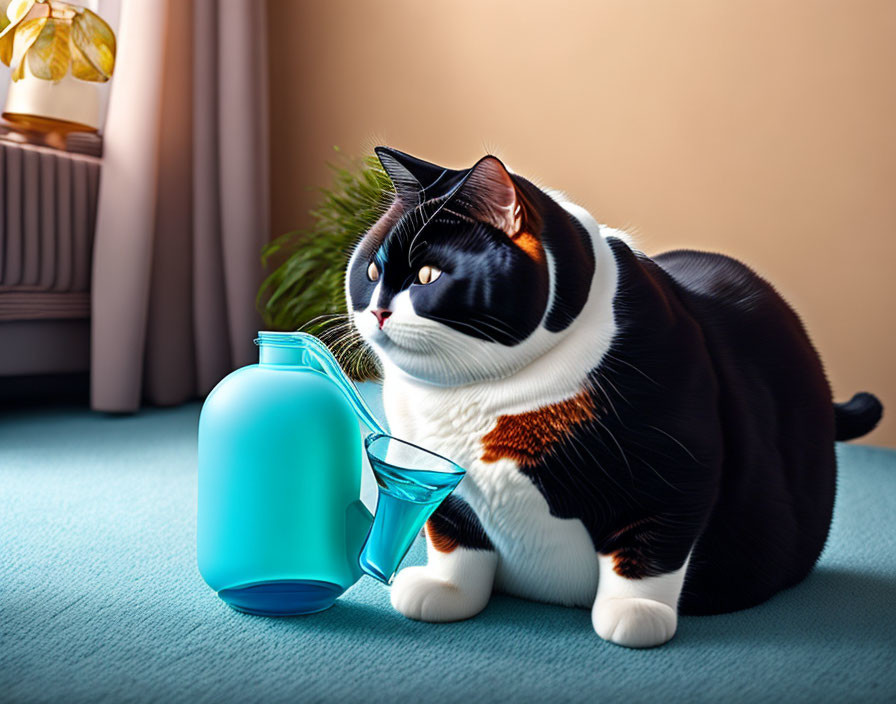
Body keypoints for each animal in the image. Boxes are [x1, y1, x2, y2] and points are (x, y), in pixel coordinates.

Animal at [344, 147, 880, 648]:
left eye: (428, 276)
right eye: (371, 272)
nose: (378, 311)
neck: (477, 395)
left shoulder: (675, 467)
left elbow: (648, 550)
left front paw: (634, 615)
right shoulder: (429, 466)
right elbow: (452, 535)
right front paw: (444, 590)